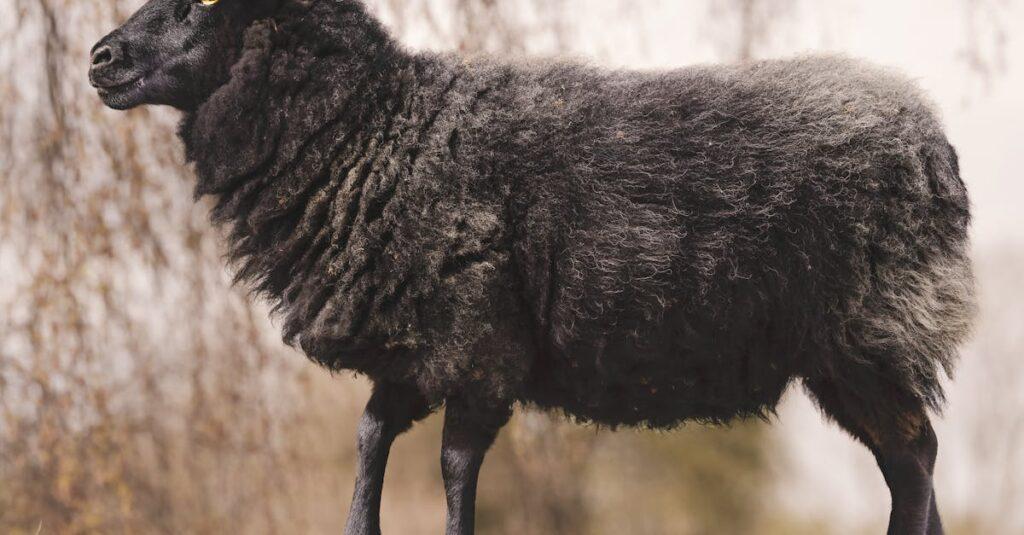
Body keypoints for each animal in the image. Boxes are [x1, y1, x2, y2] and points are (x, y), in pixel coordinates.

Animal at [89, 0, 976, 533]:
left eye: (209, 3)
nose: (99, 59)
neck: (379, 129)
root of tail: (933, 139)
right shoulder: (417, 343)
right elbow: (370, 436)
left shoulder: (480, 339)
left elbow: (453, 462)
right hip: (851, 355)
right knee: (911, 458)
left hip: (871, 333)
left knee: (914, 460)